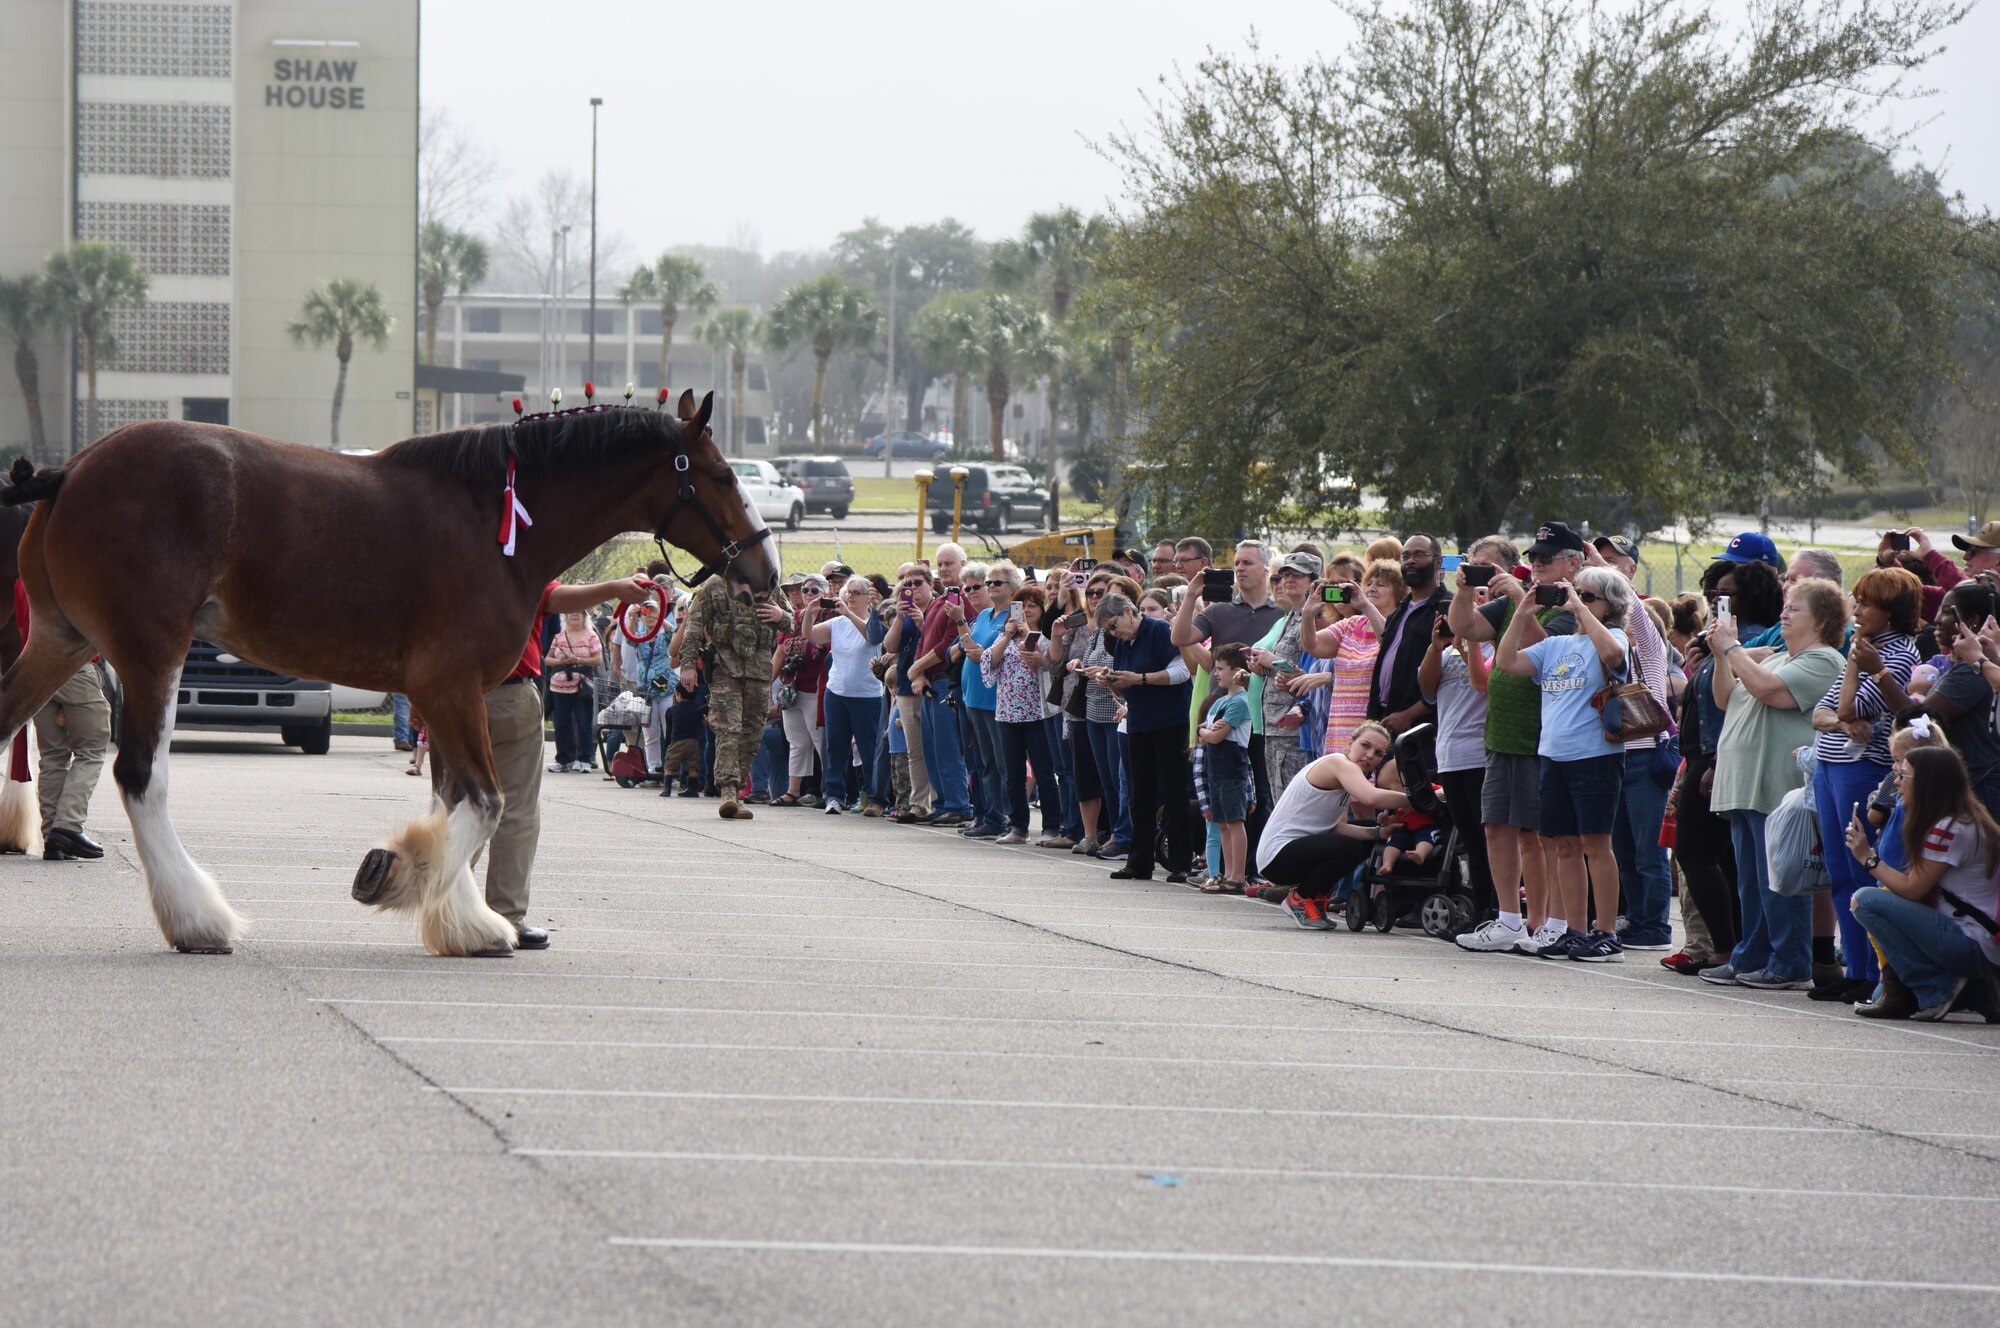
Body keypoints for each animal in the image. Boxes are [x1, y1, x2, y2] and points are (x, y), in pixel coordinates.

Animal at [0, 392, 776, 956]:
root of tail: (73, 469)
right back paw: (199, 919)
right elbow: (485, 803)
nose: (765, 571)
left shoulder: (447, 698)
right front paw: (402, 877)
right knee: (141, 776)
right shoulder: (449, 688)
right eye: (723, 475)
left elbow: (456, 799)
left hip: (62, 642)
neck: (493, 524)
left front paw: (462, 921)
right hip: (149, 652)